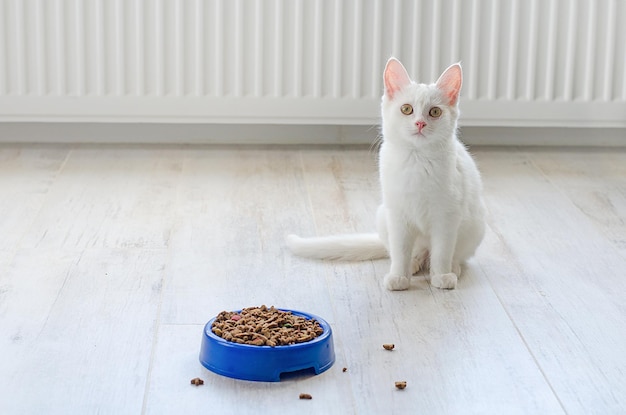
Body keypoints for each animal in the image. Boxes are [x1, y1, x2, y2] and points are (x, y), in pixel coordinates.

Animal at [286, 57, 486, 292]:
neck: (417, 160)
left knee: (452, 254)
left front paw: (441, 276)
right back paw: (414, 263)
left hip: (475, 224)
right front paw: (399, 276)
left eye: (435, 112)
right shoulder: (397, 215)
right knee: (412, 251)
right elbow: (400, 251)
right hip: (383, 215)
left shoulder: (446, 215)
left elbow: (442, 251)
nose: (420, 123)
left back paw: (452, 267)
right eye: (406, 109)